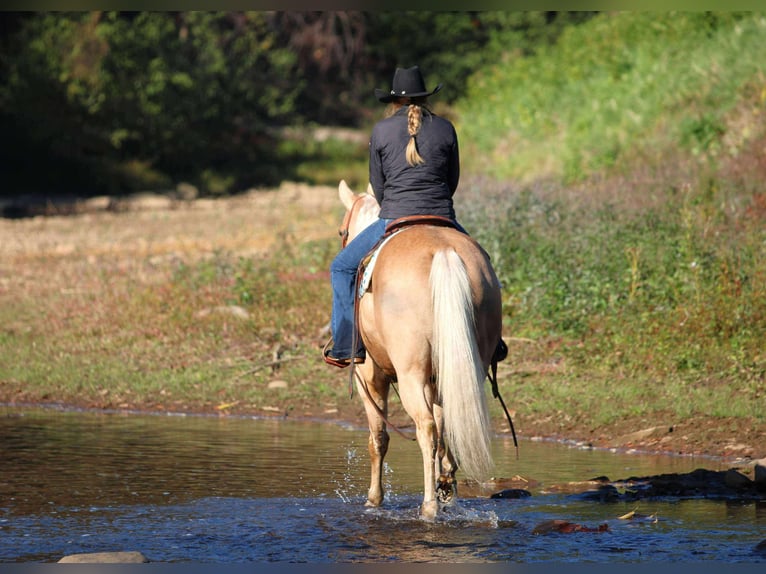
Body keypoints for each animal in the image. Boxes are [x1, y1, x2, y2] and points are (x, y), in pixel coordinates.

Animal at [336, 180, 504, 520]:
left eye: (341, 231)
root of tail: (444, 252)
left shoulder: (370, 376)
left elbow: (378, 438)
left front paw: (374, 498)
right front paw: (445, 483)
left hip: (409, 374)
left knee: (425, 429)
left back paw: (429, 507)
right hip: (466, 366)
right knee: (447, 423)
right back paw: (444, 491)